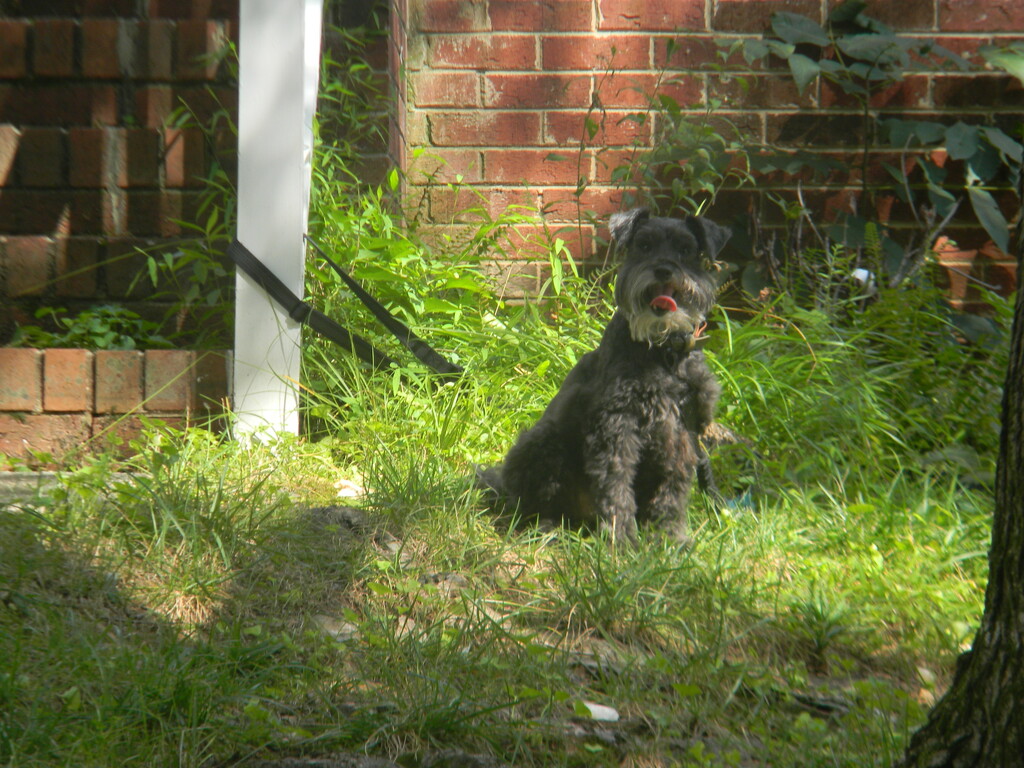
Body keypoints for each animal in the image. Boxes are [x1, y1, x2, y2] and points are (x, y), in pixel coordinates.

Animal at [479, 207, 729, 548]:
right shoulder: (617, 426)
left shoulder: (683, 433)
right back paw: (547, 527)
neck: (663, 352)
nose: (664, 270)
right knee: (531, 506)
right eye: (644, 245)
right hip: (543, 442)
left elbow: (674, 489)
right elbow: (616, 484)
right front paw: (622, 540)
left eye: (685, 249)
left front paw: (670, 538)